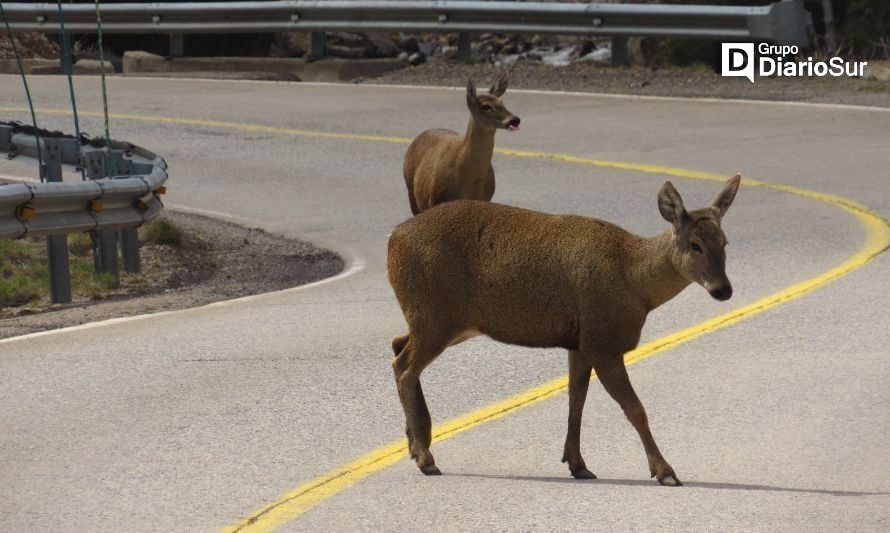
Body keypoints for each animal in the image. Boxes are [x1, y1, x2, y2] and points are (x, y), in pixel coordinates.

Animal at [388, 176, 744, 486]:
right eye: (695, 245)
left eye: (725, 242)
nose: (723, 289)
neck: (635, 282)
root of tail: (392, 241)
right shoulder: (602, 340)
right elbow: (635, 409)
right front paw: (666, 472)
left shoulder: (579, 342)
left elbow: (576, 402)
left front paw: (578, 464)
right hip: (434, 315)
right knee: (404, 368)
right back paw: (425, 457)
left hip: (446, 321)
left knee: (397, 346)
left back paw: (416, 443)